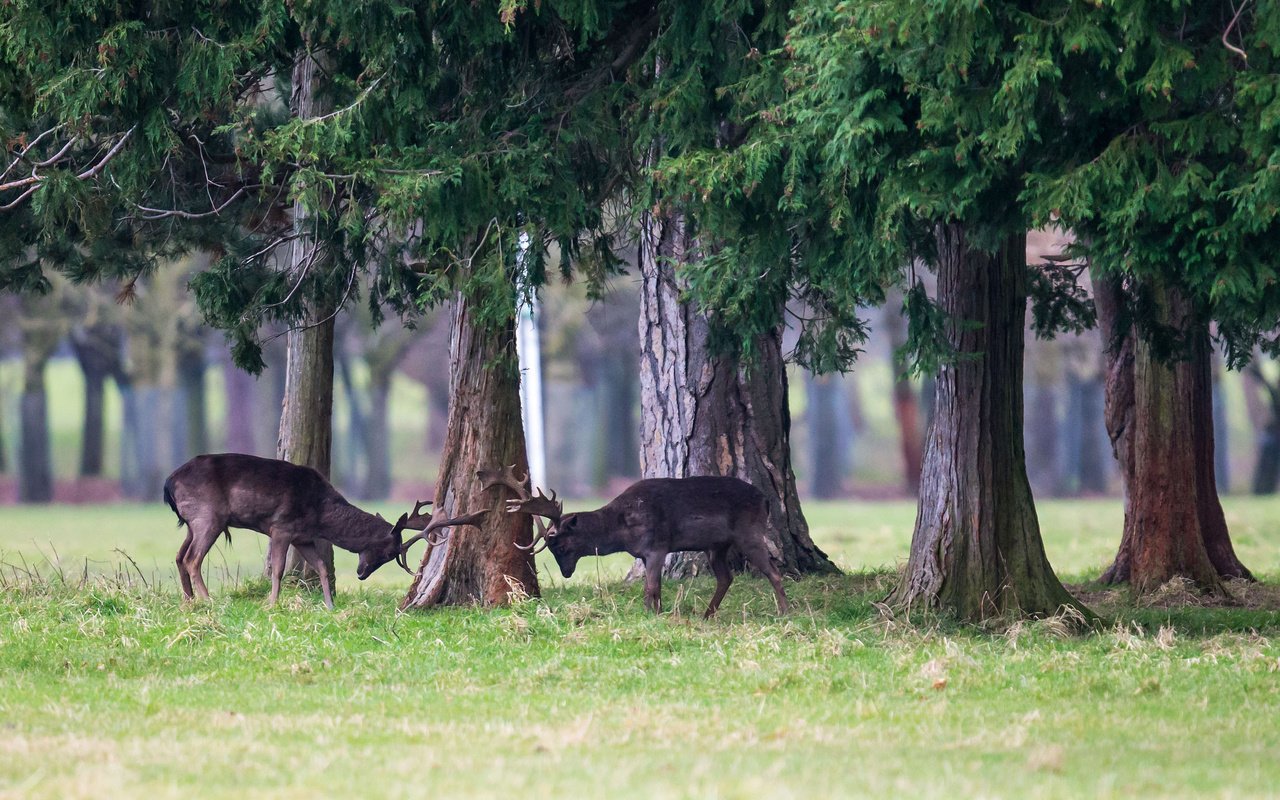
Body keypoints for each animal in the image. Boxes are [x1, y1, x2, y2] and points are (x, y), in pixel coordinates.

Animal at [167, 453, 486, 609]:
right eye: (388, 552)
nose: (361, 574)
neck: (320, 513)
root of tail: (168, 483)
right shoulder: (281, 526)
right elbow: (278, 569)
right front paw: (271, 604)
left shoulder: (303, 536)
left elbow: (321, 566)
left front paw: (330, 605)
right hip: (208, 516)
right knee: (193, 559)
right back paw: (208, 600)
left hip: (193, 522)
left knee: (180, 557)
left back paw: (189, 601)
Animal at [478, 465, 783, 614]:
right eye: (552, 550)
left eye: (561, 545)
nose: (565, 573)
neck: (622, 530)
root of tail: (766, 500)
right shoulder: (644, 553)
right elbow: (652, 589)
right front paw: (654, 613)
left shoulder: (657, 546)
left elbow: (651, 587)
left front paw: (653, 615)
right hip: (716, 546)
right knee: (726, 577)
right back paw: (707, 614)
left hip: (748, 532)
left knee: (774, 571)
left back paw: (784, 611)